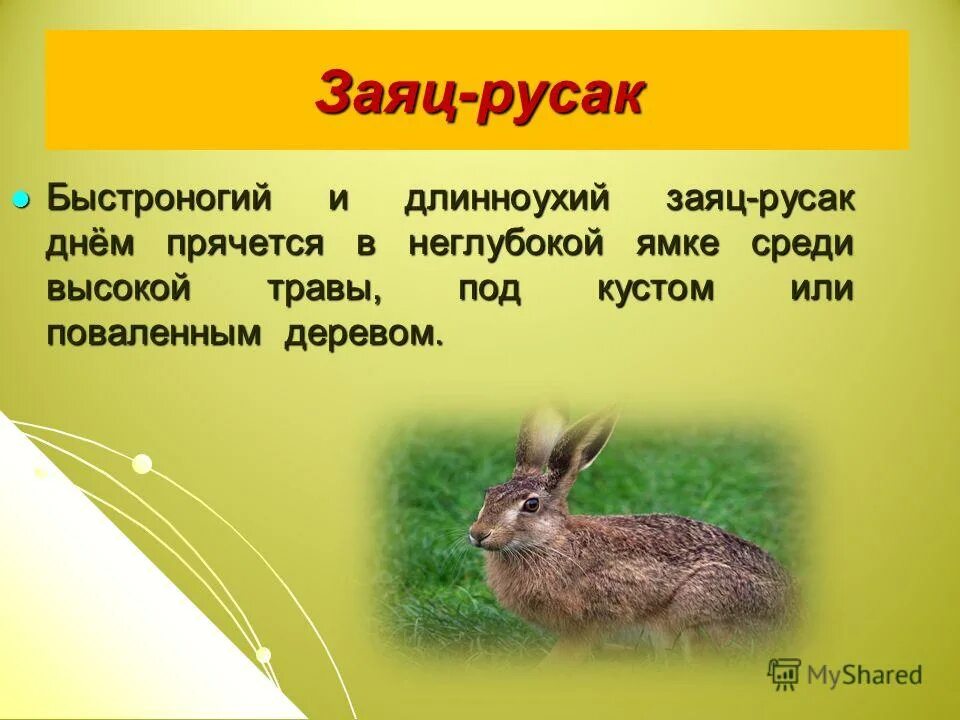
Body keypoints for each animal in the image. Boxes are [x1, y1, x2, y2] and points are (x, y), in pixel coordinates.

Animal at [468, 408, 794, 658]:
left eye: (531, 505)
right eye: (488, 494)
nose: (478, 534)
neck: (551, 542)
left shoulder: (588, 622)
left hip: (697, 606)